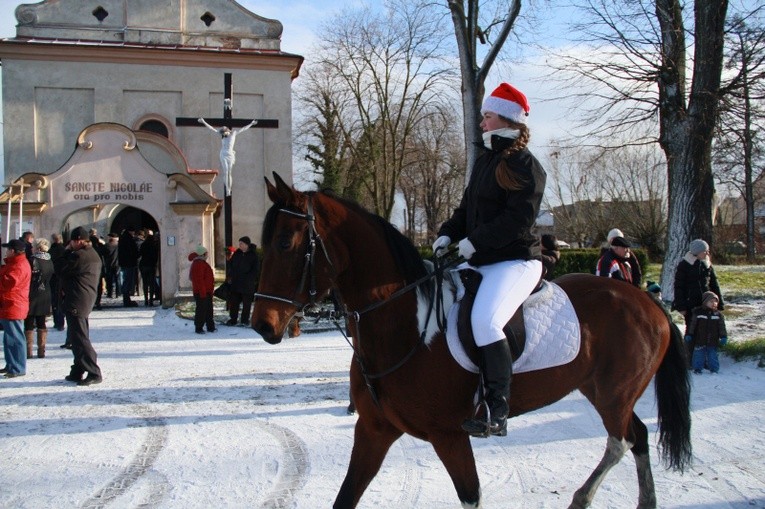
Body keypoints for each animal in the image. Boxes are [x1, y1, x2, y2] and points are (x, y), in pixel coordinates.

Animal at [252, 173, 692, 506]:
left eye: (286, 243)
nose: (261, 324)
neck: (405, 326)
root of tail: (648, 302)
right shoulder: (374, 430)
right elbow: (345, 496)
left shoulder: (449, 437)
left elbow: (470, 495)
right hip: (601, 390)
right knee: (637, 436)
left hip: (614, 394)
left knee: (620, 441)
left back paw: (582, 497)